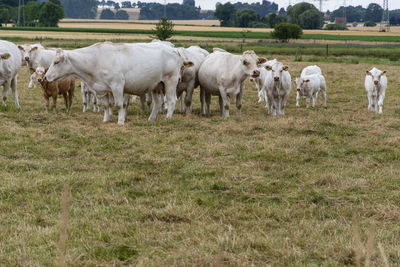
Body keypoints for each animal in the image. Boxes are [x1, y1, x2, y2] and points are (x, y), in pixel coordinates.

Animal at [45, 42, 192, 125]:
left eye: (56, 62)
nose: (46, 76)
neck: (96, 60)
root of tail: (175, 50)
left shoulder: (117, 85)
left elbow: (119, 105)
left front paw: (120, 121)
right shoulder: (102, 89)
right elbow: (105, 105)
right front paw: (106, 120)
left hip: (171, 81)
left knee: (171, 100)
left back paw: (168, 118)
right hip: (156, 85)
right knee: (158, 102)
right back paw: (151, 119)